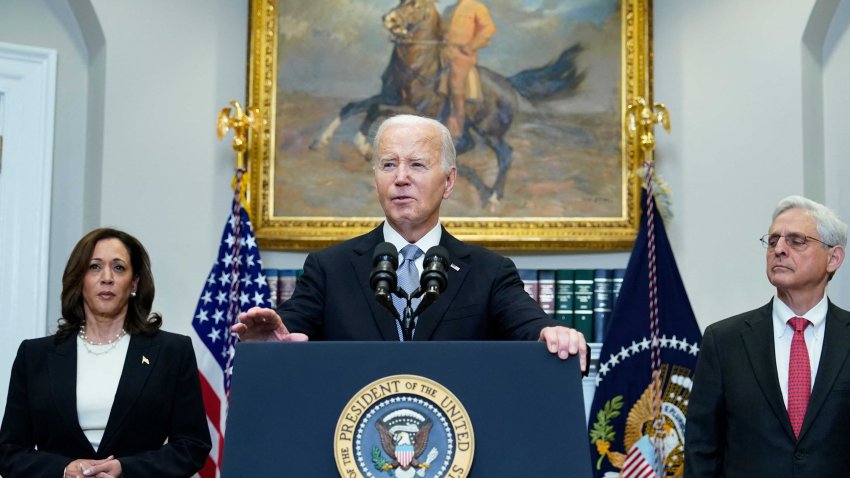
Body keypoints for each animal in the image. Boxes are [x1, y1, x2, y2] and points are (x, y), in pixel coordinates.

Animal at [312, 0, 584, 206]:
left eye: (415, 4)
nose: (388, 19)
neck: (417, 69)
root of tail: (508, 82)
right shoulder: (390, 97)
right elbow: (363, 108)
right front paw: (347, 144)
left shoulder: (412, 111)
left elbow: (370, 109)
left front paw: (347, 143)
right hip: (471, 127)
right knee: (468, 144)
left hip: (489, 132)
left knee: (505, 154)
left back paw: (494, 196)